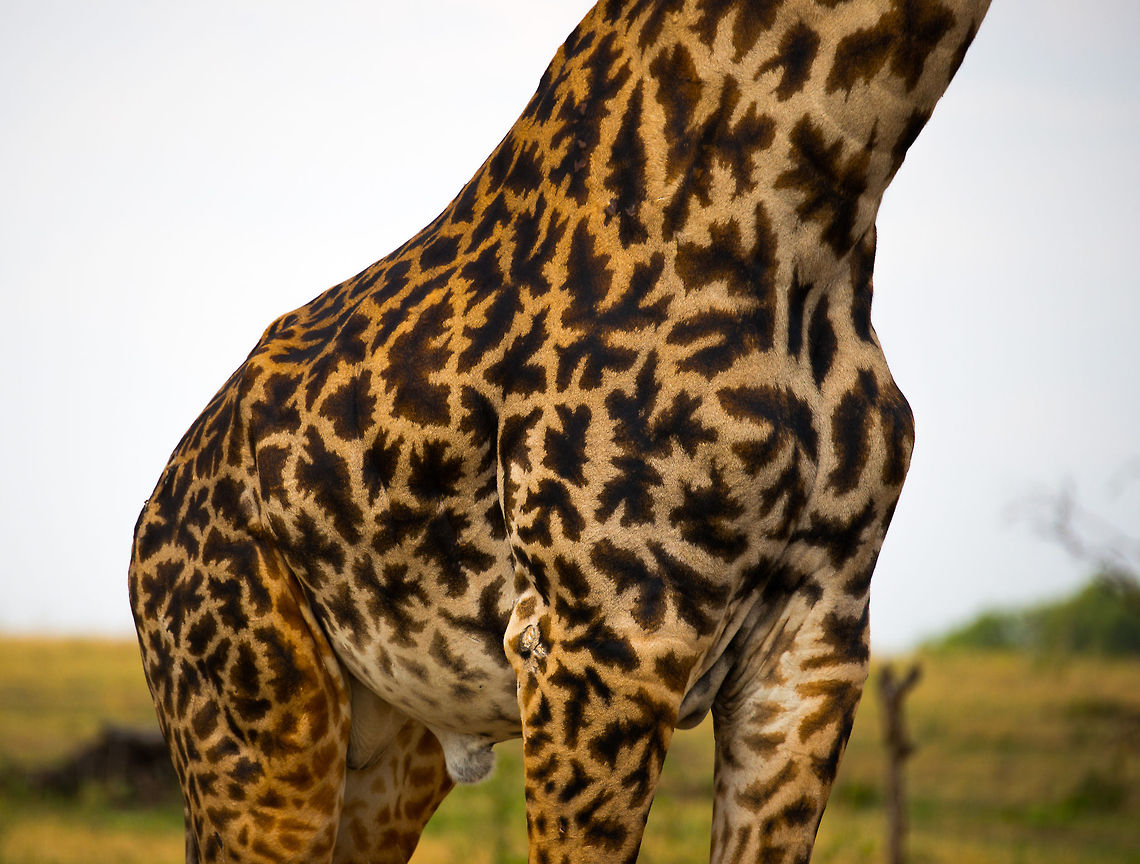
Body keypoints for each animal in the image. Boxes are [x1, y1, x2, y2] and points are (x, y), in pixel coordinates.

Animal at [128, 0, 993, 862]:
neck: (828, 201)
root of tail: (150, 520)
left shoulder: (818, 641)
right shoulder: (605, 639)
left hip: (387, 752)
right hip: (262, 740)